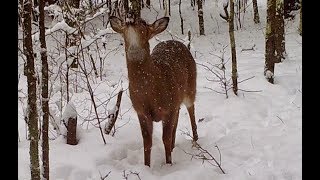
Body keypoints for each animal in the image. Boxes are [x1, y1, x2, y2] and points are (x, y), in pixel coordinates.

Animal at [109, 15, 198, 167]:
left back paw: (195, 141)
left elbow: (165, 139)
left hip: (190, 87)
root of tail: (176, 42)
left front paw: (169, 164)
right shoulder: (141, 112)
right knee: (178, 118)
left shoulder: (168, 109)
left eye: (143, 23)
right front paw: (147, 166)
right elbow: (147, 142)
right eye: (124, 26)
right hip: (177, 100)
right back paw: (174, 147)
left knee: (191, 110)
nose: (130, 19)